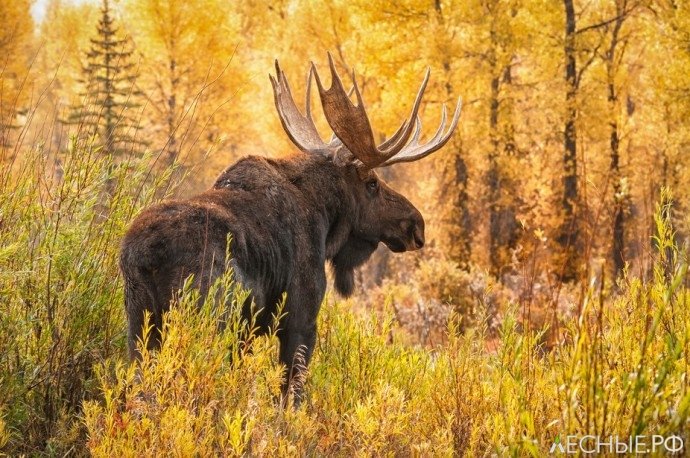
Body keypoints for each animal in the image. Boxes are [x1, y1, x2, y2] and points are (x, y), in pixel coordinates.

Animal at [120, 54, 461, 404]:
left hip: (140, 321)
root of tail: (144, 255)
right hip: (208, 315)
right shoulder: (301, 315)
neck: (326, 224)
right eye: (372, 184)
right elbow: (292, 393)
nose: (416, 225)